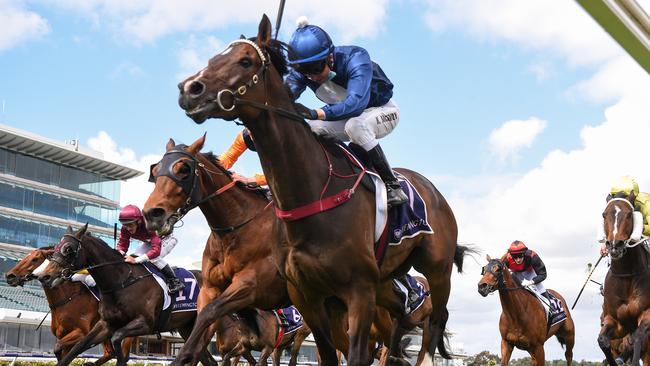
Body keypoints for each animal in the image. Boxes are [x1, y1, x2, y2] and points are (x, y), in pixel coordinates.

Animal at [38, 224, 218, 366]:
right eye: (54, 250)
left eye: (68, 249)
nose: (45, 276)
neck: (121, 281)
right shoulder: (105, 325)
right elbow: (76, 348)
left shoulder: (145, 323)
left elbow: (117, 340)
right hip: (187, 328)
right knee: (207, 360)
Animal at [141, 136, 436, 364]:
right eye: (155, 171)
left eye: (183, 168)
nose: (152, 214)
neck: (237, 229)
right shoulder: (211, 289)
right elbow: (201, 328)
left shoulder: (251, 287)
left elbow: (212, 314)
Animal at [175, 14, 464, 366]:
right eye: (215, 56)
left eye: (245, 61)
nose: (190, 88)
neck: (312, 194)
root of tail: (434, 191)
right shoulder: (308, 296)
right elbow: (326, 353)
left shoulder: (358, 291)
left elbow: (355, 354)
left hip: (436, 270)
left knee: (434, 323)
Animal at [596, 192, 648, 366]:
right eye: (604, 215)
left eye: (629, 215)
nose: (615, 246)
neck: (627, 276)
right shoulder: (616, 323)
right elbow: (602, 341)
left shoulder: (646, 313)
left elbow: (637, 337)